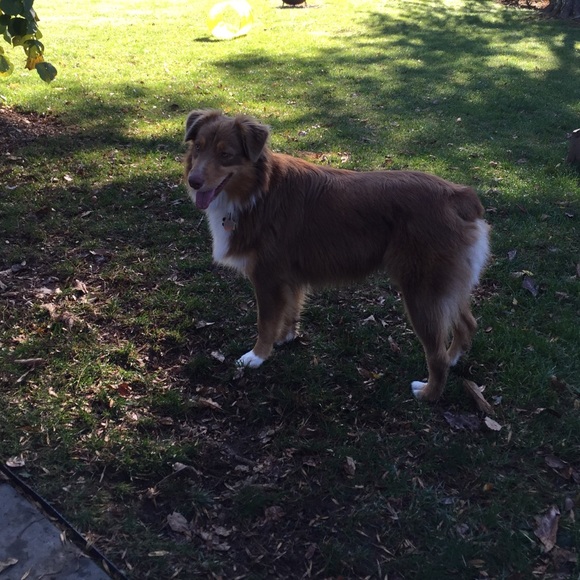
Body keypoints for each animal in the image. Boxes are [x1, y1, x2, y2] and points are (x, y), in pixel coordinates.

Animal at [183, 110, 490, 401]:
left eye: (225, 155)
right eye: (198, 148)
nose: (193, 181)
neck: (259, 190)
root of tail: (458, 195)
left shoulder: (267, 278)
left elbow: (265, 322)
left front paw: (257, 356)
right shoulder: (287, 278)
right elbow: (289, 311)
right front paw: (286, 338)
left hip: (421, 293)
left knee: (436, 355)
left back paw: (428, 393)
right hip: (445, 288)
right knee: (467, 325)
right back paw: (453, 358)